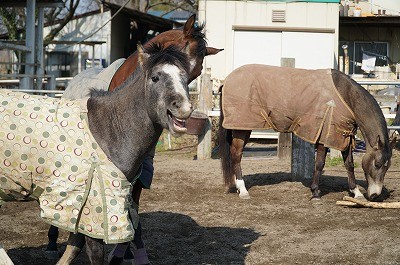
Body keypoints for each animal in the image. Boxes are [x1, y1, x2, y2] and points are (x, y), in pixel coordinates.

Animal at [219, 64, 390, 200]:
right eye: (377, 164)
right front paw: (315, 193)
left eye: (387, 167)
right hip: (242, 128)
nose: (375, 195)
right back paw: (243, 190)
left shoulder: (343, 135)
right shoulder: (325, 134)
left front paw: (356, 192)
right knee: (236, 155)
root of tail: (227, 80)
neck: (345, 96)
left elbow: (349, 165)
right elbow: (319, 164)